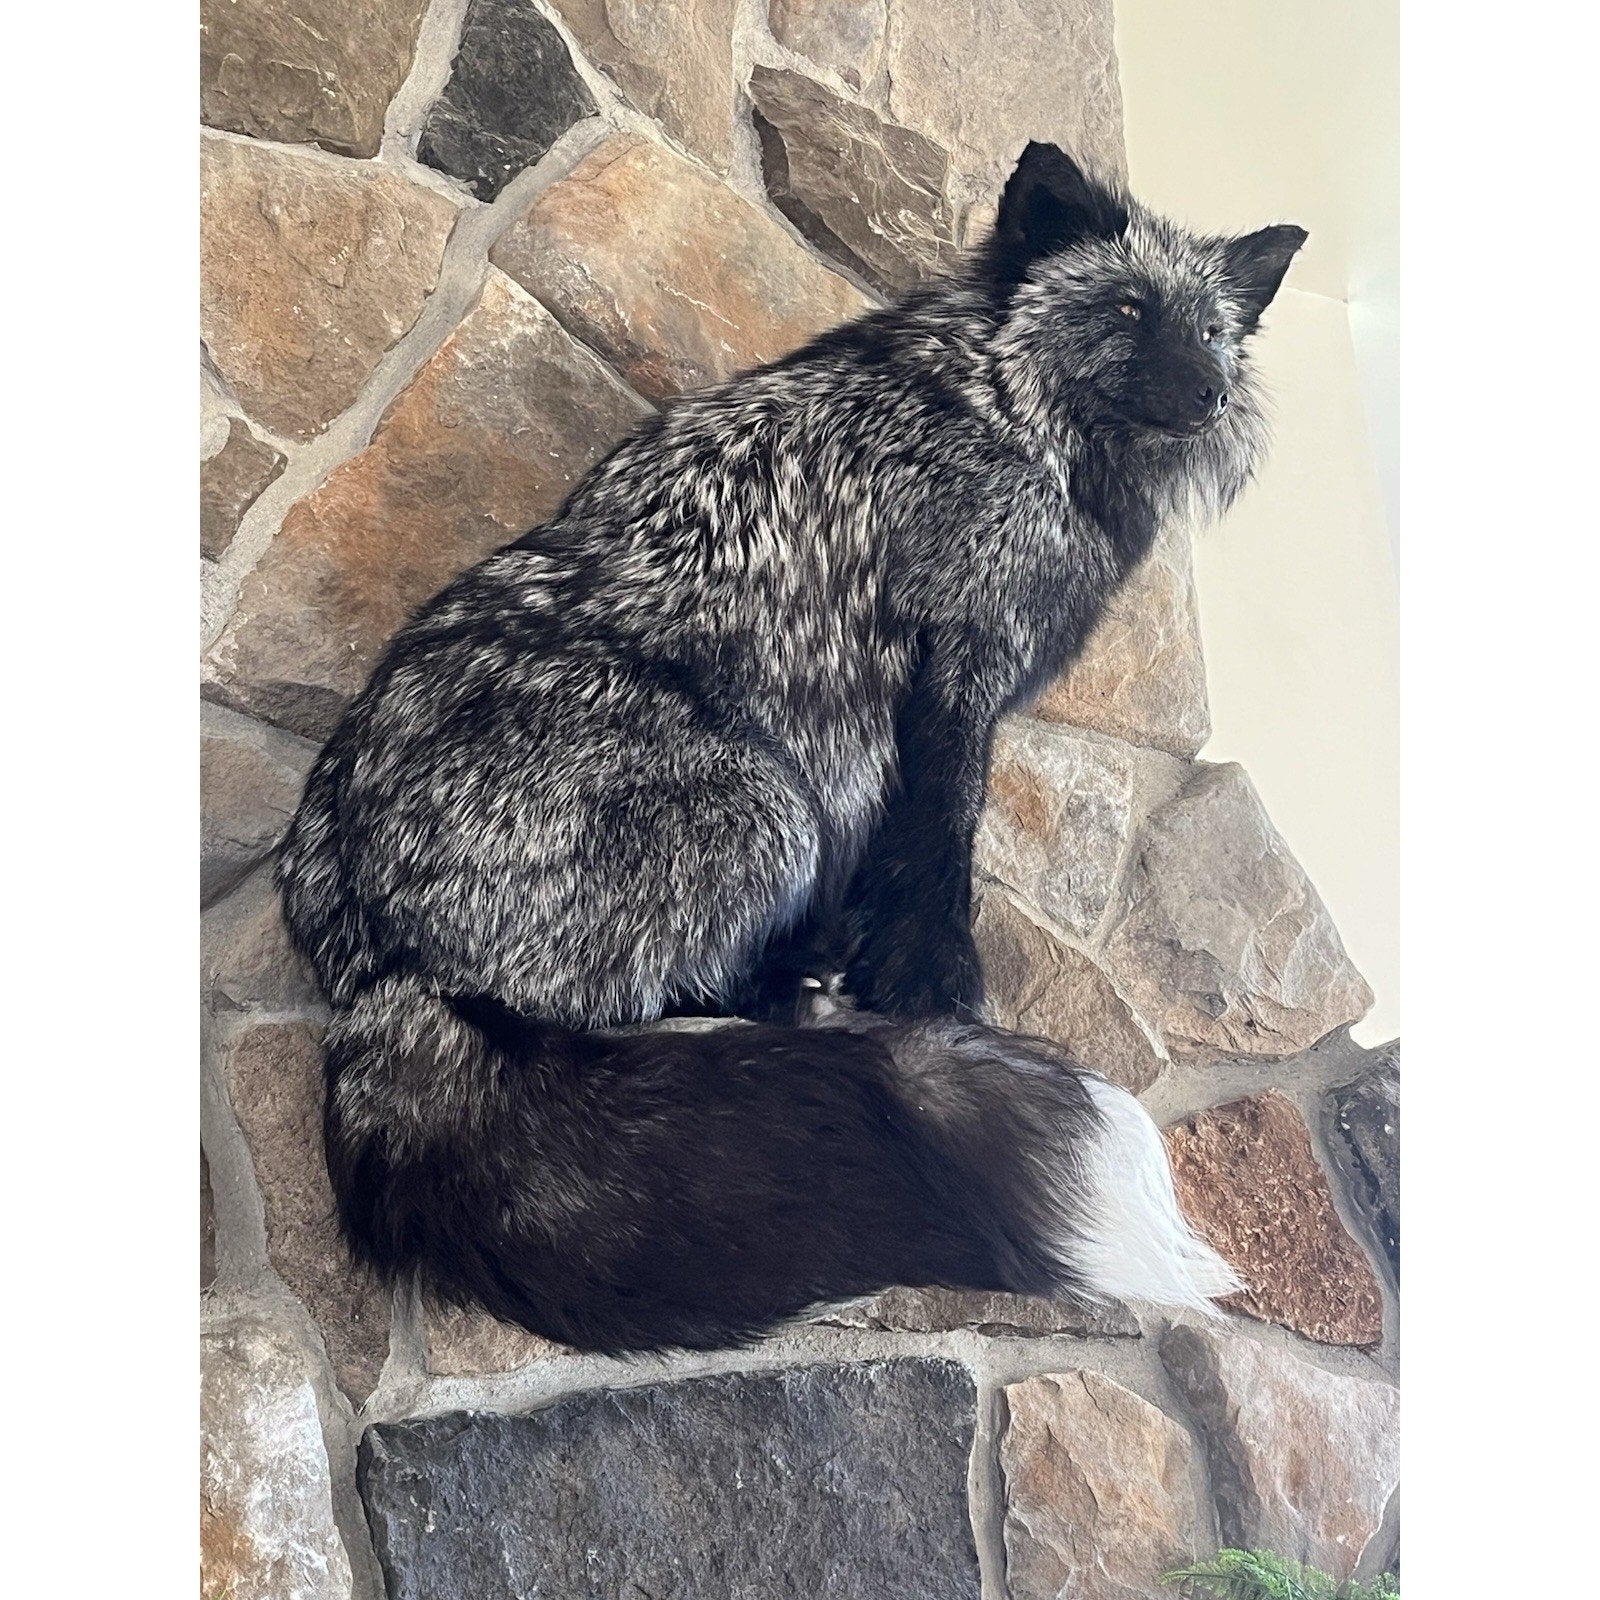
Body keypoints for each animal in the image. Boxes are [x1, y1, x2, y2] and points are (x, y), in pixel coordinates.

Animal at [276, 142, 1305, 1354]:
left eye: (1211, 330)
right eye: (1130, 307)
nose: (1208, 394)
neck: (1006, 413)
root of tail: (365, 967)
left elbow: (905, 861)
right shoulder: (955, 671)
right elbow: (938, 856)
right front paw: (934, 995)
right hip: (765, 805)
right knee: (611, 1012)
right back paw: (790, 996)